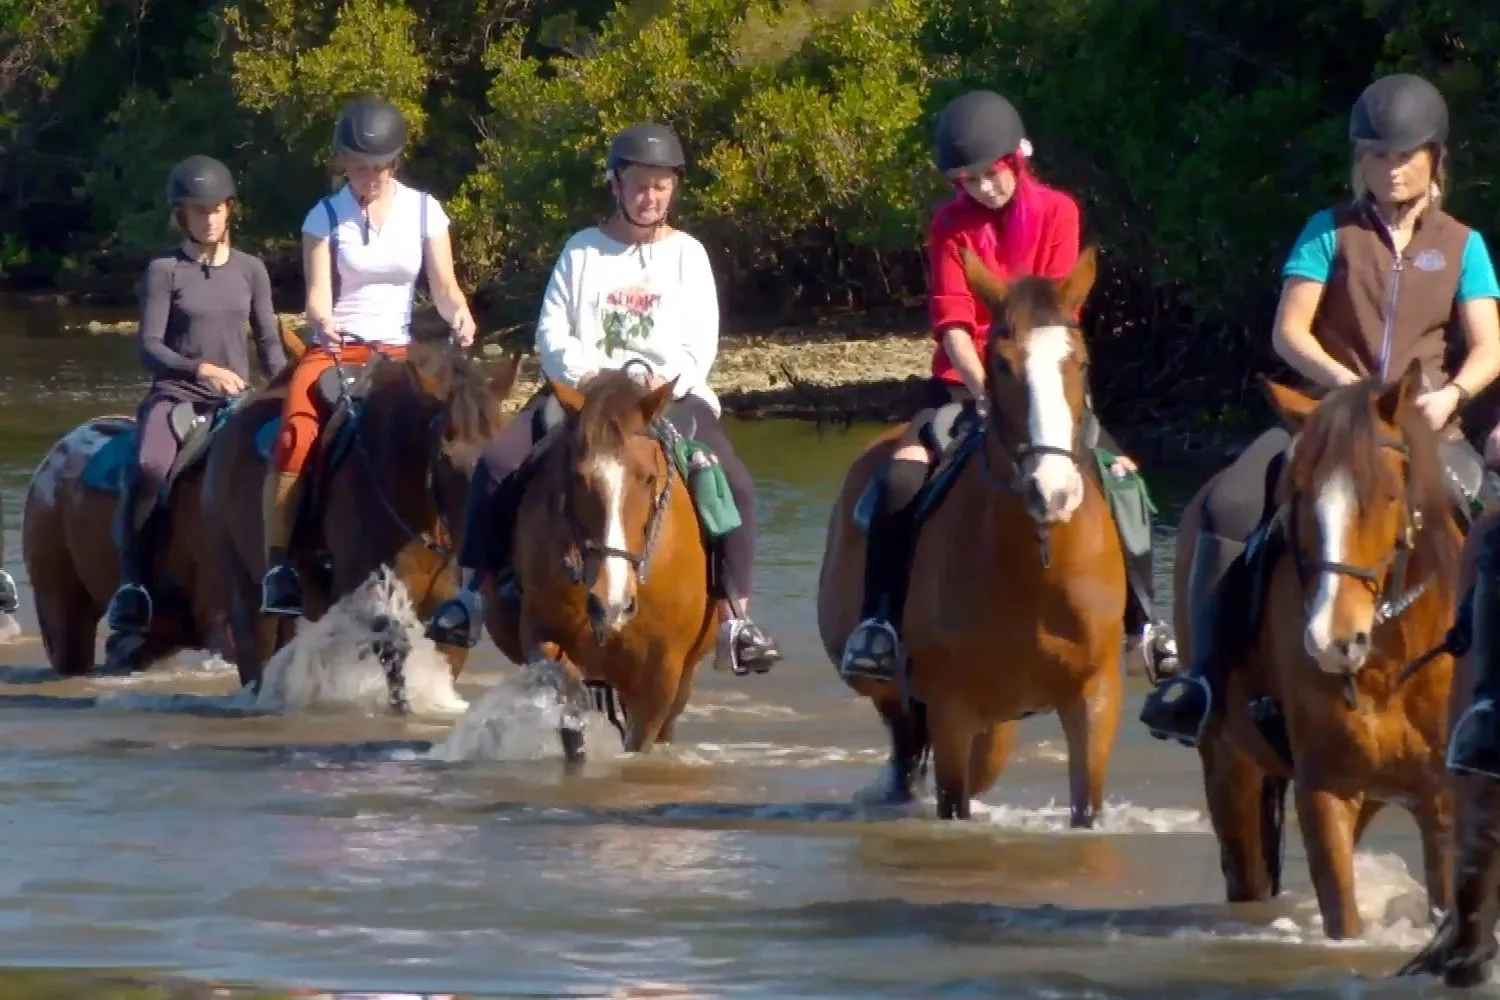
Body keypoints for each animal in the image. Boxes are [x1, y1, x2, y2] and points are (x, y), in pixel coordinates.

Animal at [483, 371, 731, 758]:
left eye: (648, 477)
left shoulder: (660, 678)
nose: (611, 603)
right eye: (576, 477)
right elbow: (569, 707)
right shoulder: (541, 640)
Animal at [1184, 365, 1461, 941]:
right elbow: (1342, 916)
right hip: (1228, 765)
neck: (1389, 667)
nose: (1333, 642)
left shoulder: (1442, 798)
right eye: (1299, 497)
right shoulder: (1325, 790)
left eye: (1388, 495)